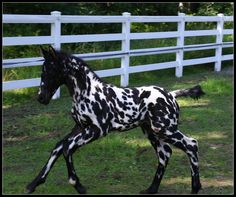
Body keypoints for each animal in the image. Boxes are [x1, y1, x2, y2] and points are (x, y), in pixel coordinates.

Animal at [25, 45, 204, 194]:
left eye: (49, 71)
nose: (41, 97)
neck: (87, 92)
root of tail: (171, 95)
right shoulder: (79, 127)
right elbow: (59, 146)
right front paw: (33, 184)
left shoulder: (97, 130)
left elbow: (67, 147)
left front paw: (78, 184)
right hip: (152, 132)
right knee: (165, 154)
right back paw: (151, 189)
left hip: (166, 129)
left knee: (191, 144)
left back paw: (195, 188)